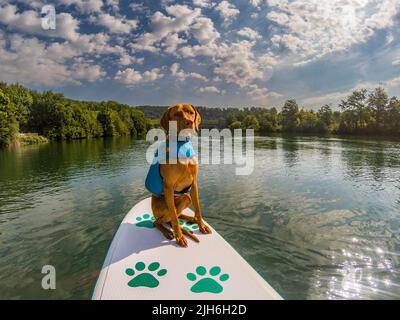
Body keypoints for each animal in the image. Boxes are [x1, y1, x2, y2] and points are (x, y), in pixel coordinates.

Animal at [151, 104, 212, 246]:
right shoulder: (168, 186)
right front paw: (179, 237)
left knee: (178, 215)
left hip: (186, 197)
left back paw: (192, 219)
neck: (181, 145)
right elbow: (173, 215)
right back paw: (169, 231)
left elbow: (198, 208)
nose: (189, 122)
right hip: (164, 208)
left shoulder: (194, 184)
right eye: (177, 114)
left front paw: (201, 225)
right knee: (159, 221)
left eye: (190, 113)